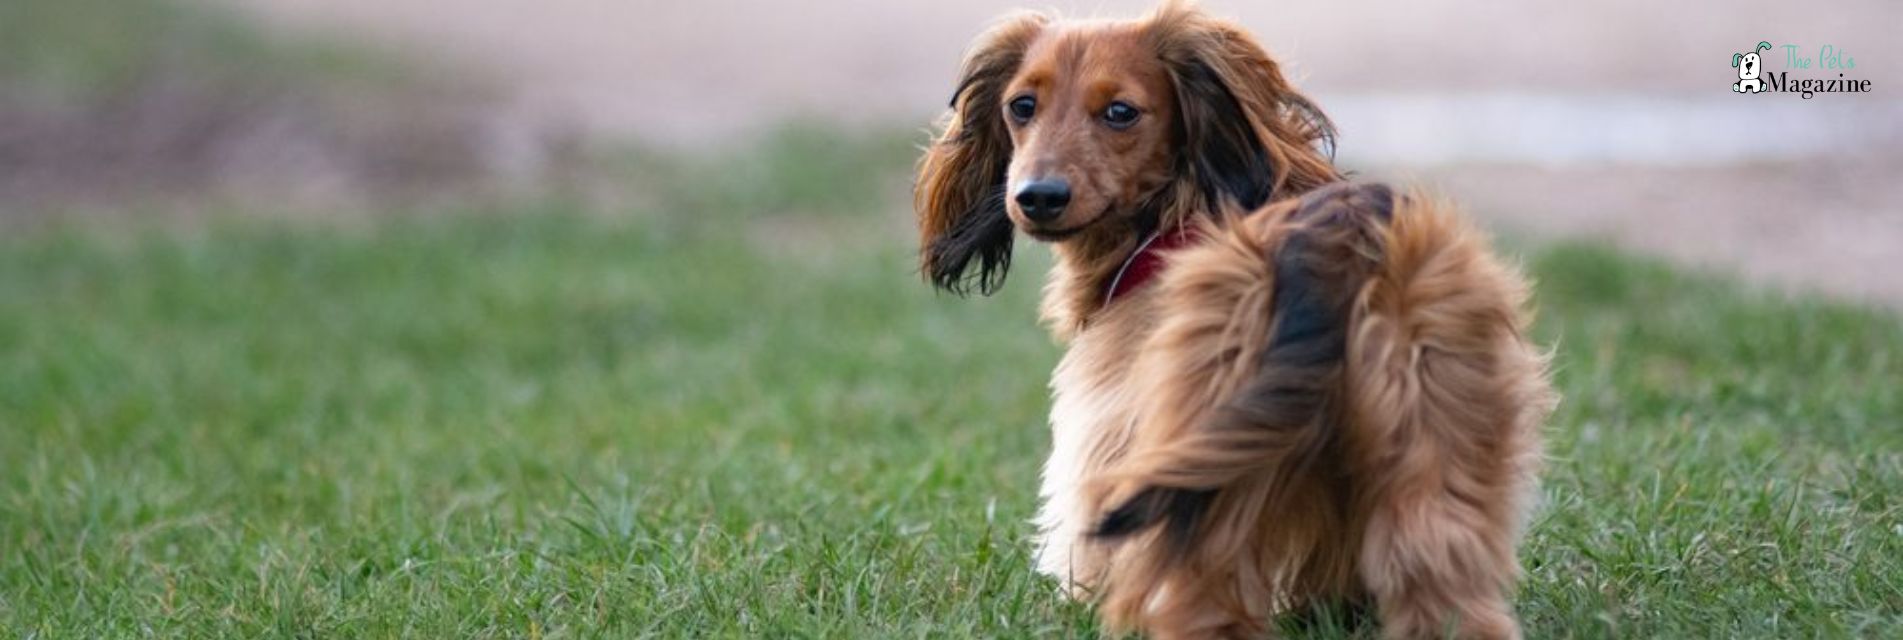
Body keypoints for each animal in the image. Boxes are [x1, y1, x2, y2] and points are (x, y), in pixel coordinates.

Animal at [913, 1, 1552, 640]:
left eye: (1120, 112)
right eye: (1022, 105)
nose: (1038, 196)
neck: (1178, 211)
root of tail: (1335, 244)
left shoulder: (1111, 428)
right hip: (1431, 453)